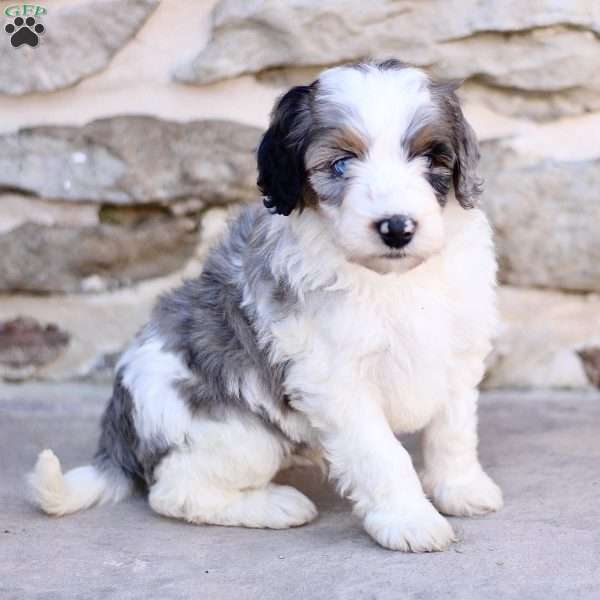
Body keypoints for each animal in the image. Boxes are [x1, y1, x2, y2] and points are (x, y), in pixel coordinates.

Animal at [30, 61, 504, 552]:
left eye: (431, 159)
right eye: (341, 164)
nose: (397, 228)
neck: (392, 281)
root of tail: (119, 424)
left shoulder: (459, 350)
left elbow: (453, 431)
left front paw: (461, 488)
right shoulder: (336, 380)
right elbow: (382, 453)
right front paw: (409, 520)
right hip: (238, 434)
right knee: (174, 491)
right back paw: (276, 505)